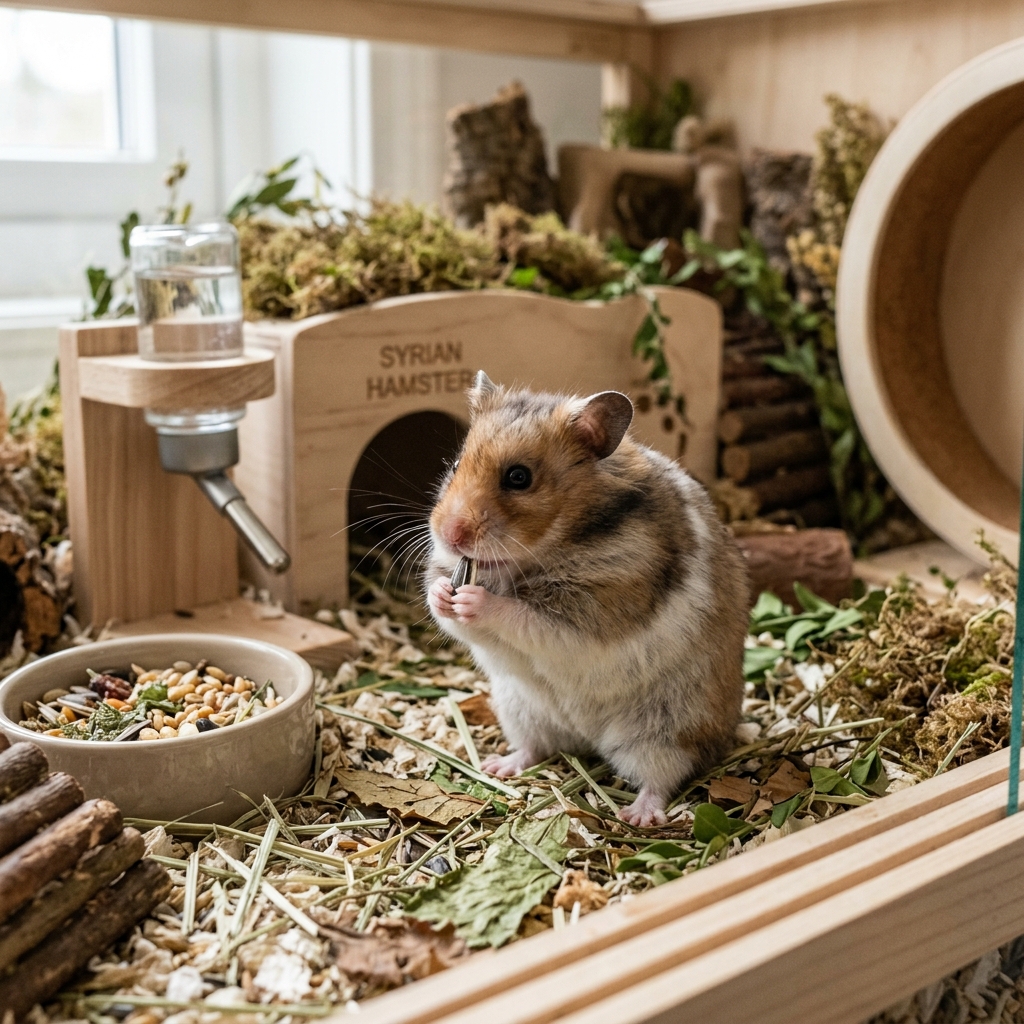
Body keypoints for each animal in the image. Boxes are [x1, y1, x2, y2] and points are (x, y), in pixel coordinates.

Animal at [425, 371, 749, 827]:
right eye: (455, 466)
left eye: (519, 477)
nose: (450, 535)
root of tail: (587, 736)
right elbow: (445, 606)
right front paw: (443, 594)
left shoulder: (592, 613)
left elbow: (524, 617)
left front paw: (473, 599)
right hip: (520, 709)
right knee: (537, 747)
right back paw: (497, 766)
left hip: (667, 728)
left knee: (663, 776)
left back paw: (638, 816)